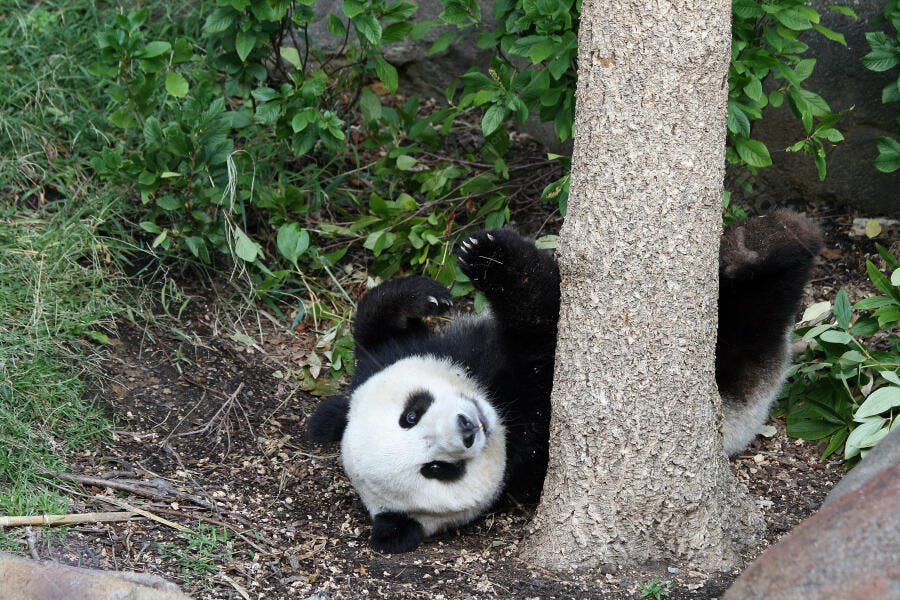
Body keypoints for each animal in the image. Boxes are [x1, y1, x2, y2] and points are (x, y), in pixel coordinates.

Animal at [307, 210, 823, 553]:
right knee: (751, 328)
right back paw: (779, 243)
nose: (468, 427)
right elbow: (543, 332)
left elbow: (377, 329)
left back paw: (762, 239)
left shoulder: (427, 354)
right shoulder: (530, 450)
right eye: (437, 470)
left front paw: (449, 278)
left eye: (410, 414)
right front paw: (503, 264)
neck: (496, 402)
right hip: (740, 385)